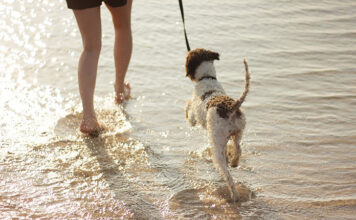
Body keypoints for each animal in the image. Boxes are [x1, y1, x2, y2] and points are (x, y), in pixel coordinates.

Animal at [184, 48, 250, 203]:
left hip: (217, 142)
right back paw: (234, 162)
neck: (207, 77)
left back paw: (234, 196)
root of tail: (231, 107)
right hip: (237, 132)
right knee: (238, 149)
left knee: (228, 176)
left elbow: (189, 108)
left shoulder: (194, 117)